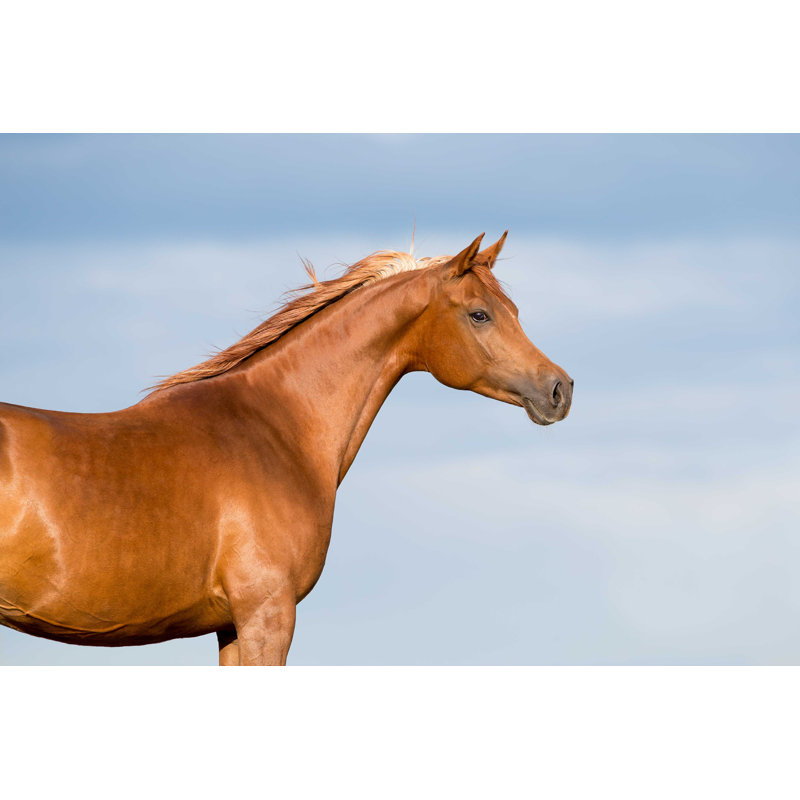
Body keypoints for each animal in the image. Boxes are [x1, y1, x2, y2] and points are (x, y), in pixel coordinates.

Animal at [0, 232, 572, 665]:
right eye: (479, 315)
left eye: (513, 309)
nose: (560, 389)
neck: (276, 428)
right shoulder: (266, 616)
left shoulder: (232, 626)